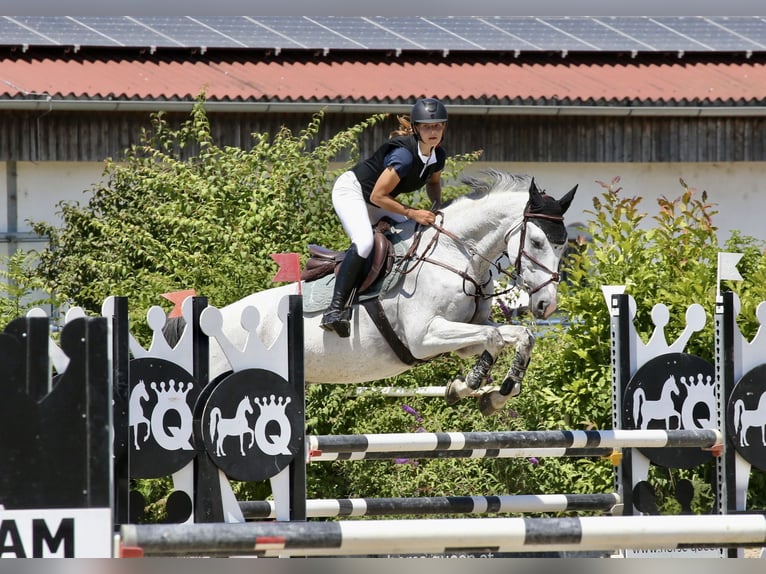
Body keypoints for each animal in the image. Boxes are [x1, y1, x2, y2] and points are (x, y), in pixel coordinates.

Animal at [207, 172, 580, 418]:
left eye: (564, 246)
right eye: (537, 242)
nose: (547, 305)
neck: (455, 252)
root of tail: (211, 320)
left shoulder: (464, 334)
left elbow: (516, 336)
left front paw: (493, 394)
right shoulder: (423, 337)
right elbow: (494, 337)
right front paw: (471, 384)